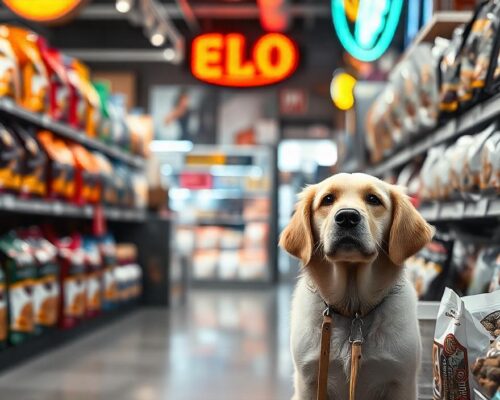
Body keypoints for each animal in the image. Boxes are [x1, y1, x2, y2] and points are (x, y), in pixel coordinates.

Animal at [282, 173, 434, 400]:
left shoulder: (401, 382)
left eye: (373, 199)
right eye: (328, 199)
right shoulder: (309, 382)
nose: (347, 217)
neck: (353, 310)